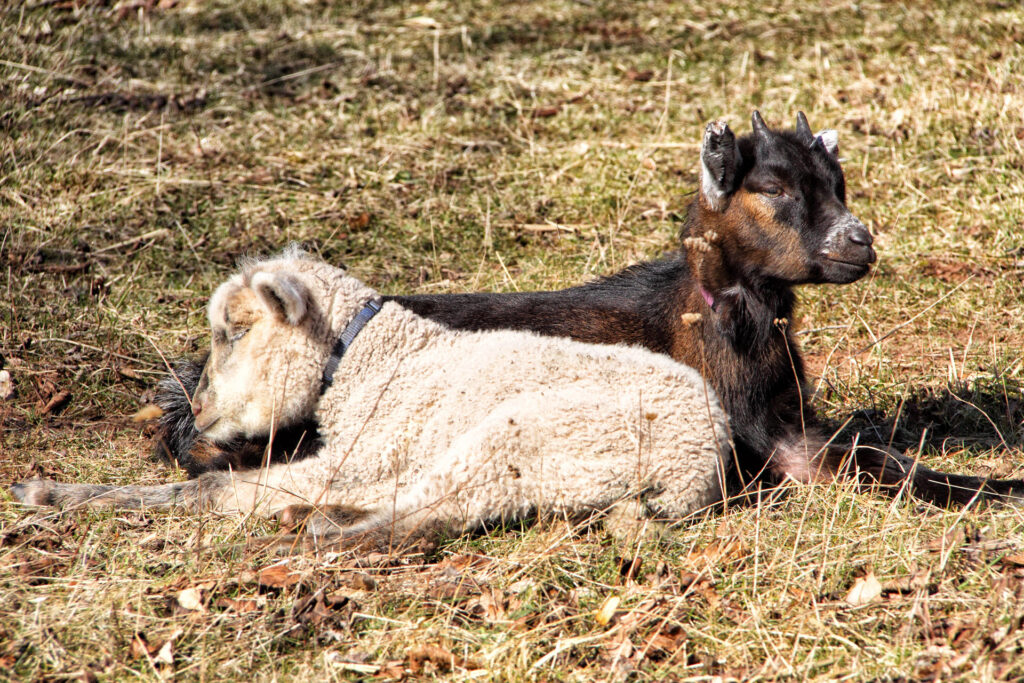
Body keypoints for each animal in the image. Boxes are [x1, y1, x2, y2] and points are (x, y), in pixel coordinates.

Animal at [12, 250, 731, 551]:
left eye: (236, 330)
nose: (202, 410)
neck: (371, 359)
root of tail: (701, 463)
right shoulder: (369, 456)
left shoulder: (361, 453)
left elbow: (212, 491)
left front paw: (50, 493)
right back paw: (315, 519)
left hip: (527, 435)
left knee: (430, 516)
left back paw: (317, 534)